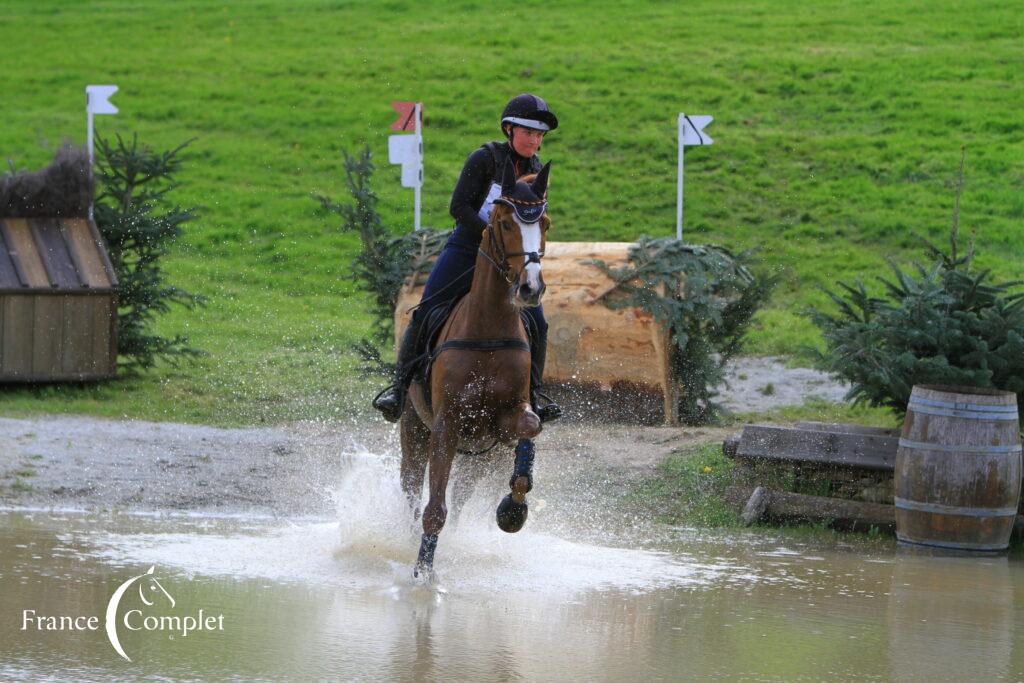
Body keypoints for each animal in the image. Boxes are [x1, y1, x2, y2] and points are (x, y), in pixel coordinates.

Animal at [399, 160, 552, 577]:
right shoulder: (446, 424)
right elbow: (434, 509)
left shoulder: (503, 420)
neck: (489, 328)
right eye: (504, 223)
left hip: (479, 460)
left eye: (545, 224)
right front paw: (422, 573)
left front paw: (513, 510)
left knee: (462, 494)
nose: (531, 288)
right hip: (413, 429)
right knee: (411, 489)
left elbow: (530, 427)